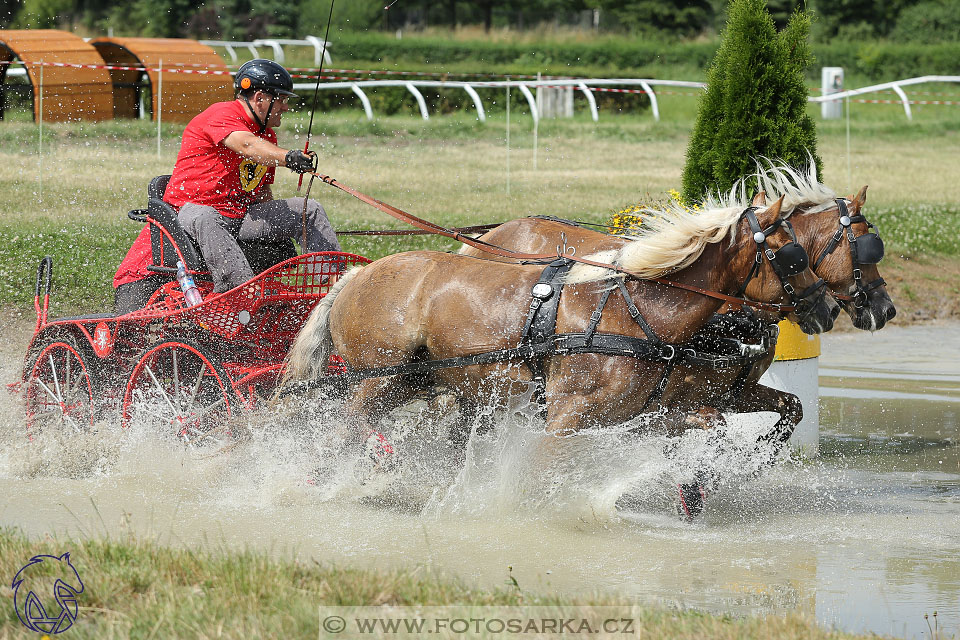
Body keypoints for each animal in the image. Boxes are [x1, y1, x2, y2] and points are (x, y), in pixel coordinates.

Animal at [284, 195, 840, 460]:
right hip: (377, 378)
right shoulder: (565, 418)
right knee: (343, 423)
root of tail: (356, 274)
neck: (633, 311)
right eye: (792, 255)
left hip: (415, 381)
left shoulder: (656, 410)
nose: (827, 308)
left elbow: (720, 425)